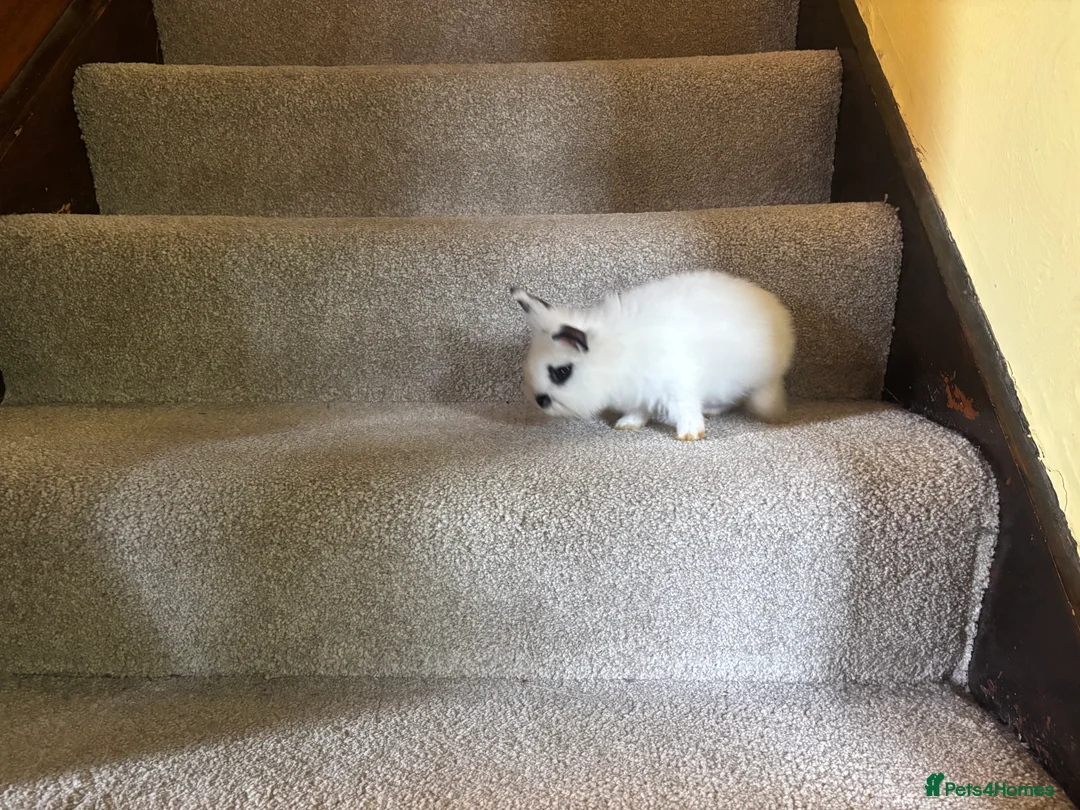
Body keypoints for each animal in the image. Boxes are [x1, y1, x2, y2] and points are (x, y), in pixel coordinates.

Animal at [511, 270, 795, 441]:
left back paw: (772, 414)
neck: (616, 354)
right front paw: (627, 424)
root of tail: (777, 309)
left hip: (763, 378)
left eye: (561, 372)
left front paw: (690, 434)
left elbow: (685, 407)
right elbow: (640, 409)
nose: (540, 401)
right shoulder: (641, 391)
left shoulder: (677, 383)